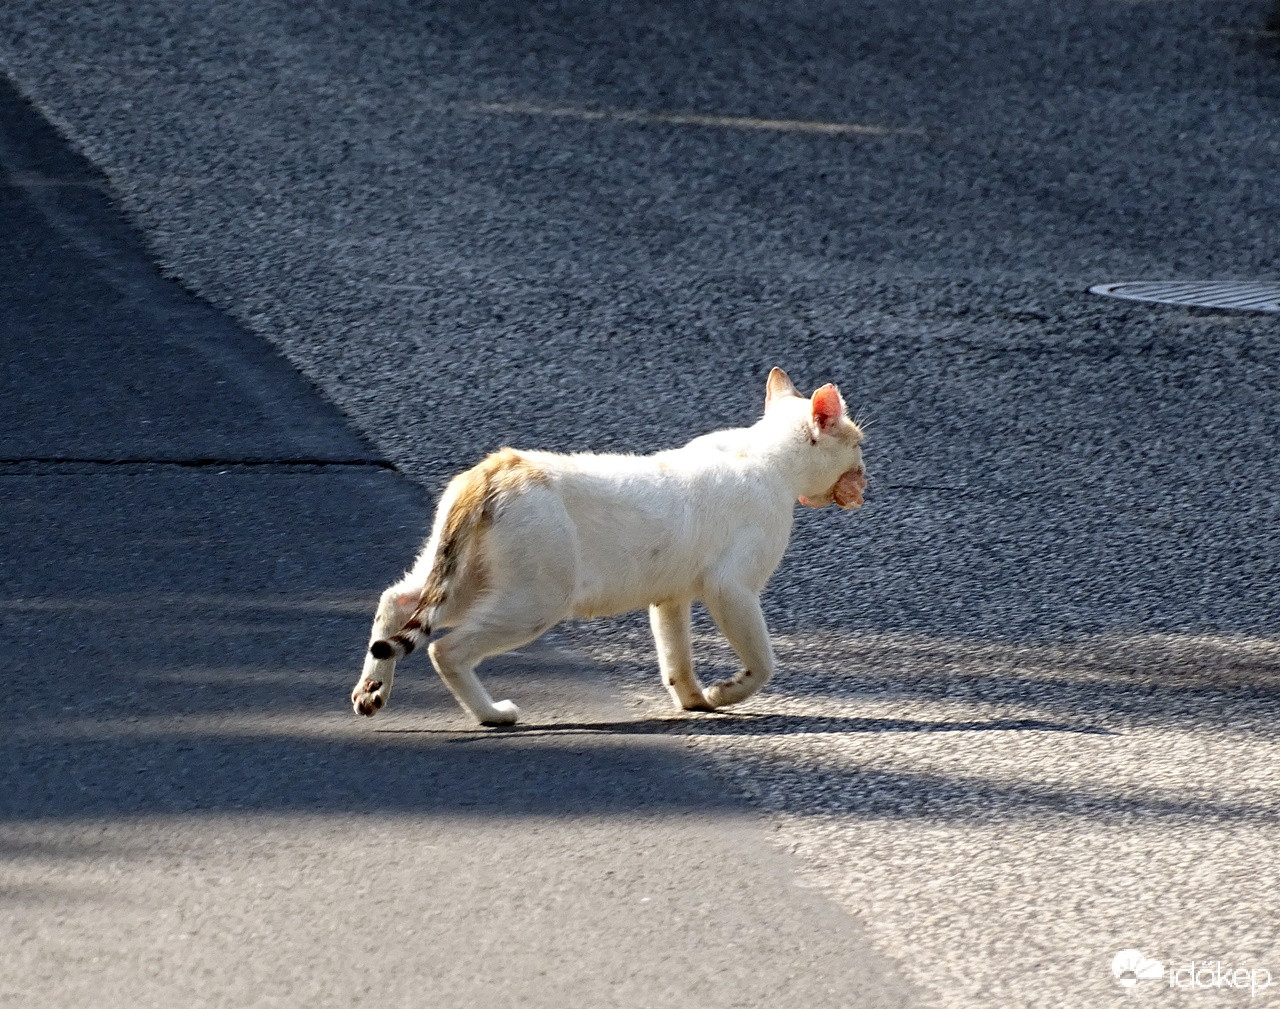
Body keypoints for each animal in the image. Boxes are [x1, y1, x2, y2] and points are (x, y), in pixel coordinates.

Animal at [353, 371, 860, 727]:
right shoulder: (731, 588)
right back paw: (492, 715)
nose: (866, 477)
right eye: (858, 446)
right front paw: (724, 693)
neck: (761, 453)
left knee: (395, 601)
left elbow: (675, 655)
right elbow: (762, 662)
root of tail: (500, 464)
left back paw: (372, 690)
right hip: (535, 600)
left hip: (466, 580)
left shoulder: (670, 596)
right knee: (446, 649)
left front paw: (694, 700)